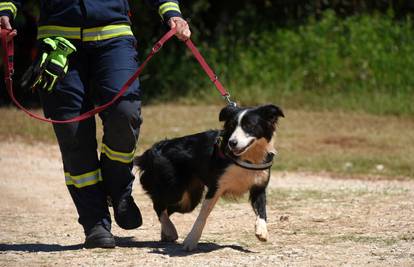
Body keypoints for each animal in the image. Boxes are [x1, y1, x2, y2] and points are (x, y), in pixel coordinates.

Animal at [134, 104, 284, 251]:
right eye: (231, 126)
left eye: (249, 125)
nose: (232, 142)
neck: (248, 157)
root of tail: (155, 148)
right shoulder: (216, 186)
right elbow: (203, 215)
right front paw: (191, 240)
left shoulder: (259, 187)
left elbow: (262, 210)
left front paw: (262, 231)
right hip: (174, 190)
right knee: (158, 205)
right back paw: (170, 230)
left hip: (189, 199)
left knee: (167, 209)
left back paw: (166, 233)